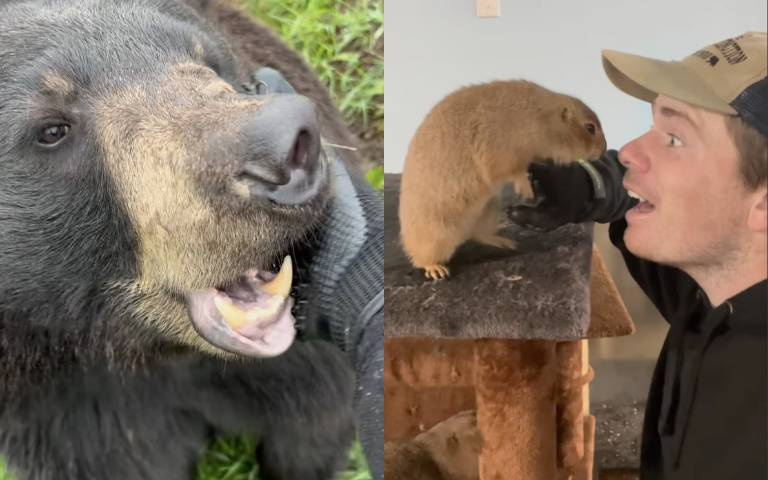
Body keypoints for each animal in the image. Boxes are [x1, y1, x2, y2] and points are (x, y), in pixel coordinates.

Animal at [0, 1, 362, 479]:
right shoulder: (68, 412)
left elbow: (315, 425)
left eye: (207, 57)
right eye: (51, 129)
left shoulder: (297, 369)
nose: (283, 143)